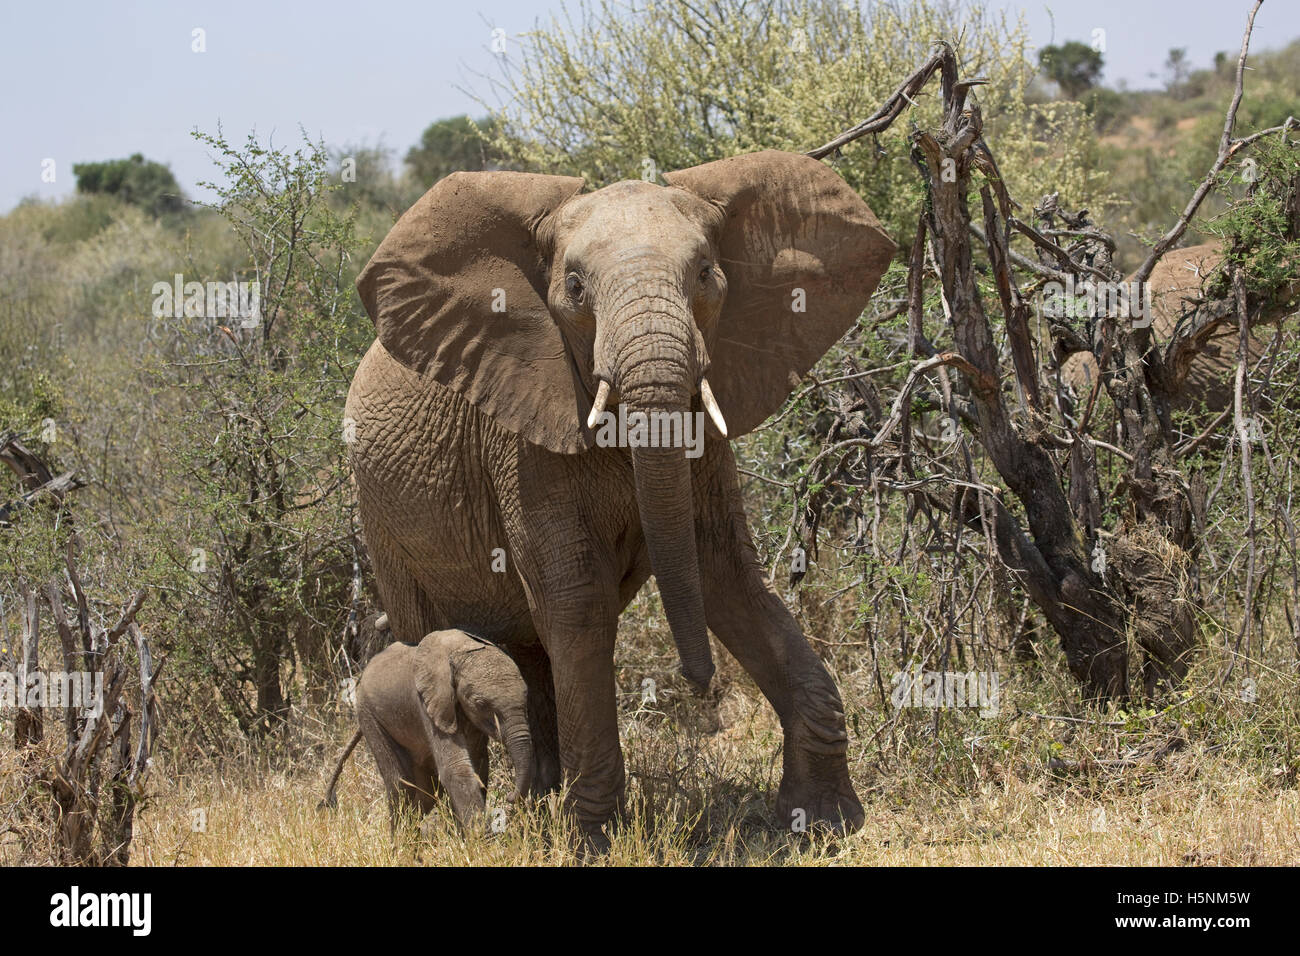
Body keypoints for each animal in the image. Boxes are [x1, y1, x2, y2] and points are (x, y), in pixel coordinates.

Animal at [323, 629, 533, 832]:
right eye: (480, 703)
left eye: (526, 695)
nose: (509, 796)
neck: (461, 649)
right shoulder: (428, 703)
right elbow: (456, 768)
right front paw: (483, 839)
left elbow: (478, 764)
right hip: (369, 715)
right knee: (401, 785)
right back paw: (402, 842)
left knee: (427, 790)